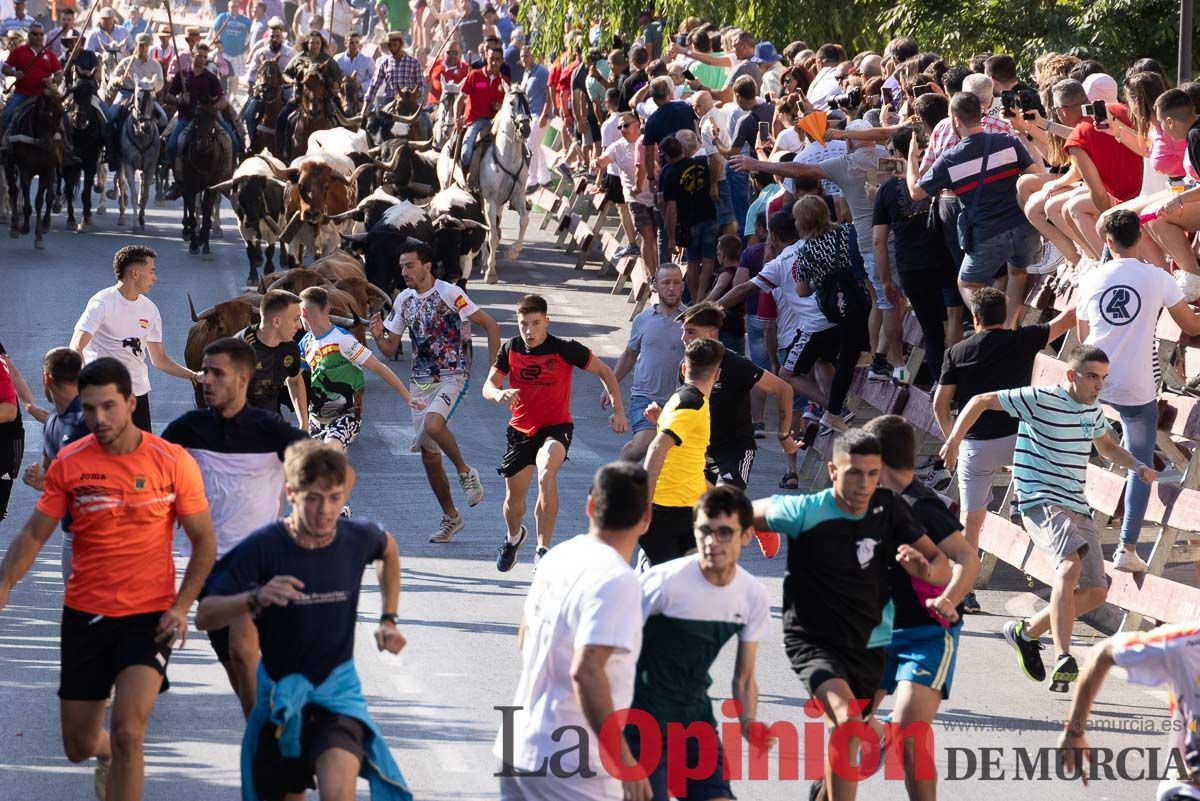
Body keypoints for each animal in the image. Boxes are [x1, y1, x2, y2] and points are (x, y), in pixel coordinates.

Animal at [5, 83, 66, 248]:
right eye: (45, 115)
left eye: (60, 115)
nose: (47, 144)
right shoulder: (26, 170)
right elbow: (27, 201)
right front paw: (25, 228)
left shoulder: (48, 169)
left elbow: (43, 199)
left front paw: (41, 231)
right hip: (9, 165)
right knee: (13, 191)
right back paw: (14, 226)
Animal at [61, 77, 105, 231]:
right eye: (74, 93)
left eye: (90, 93)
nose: (79, 118)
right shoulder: (67, 165)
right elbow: (69, 191)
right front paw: (71, 220)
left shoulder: (90, 164)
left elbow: (86, 193)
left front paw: (85, 221)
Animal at [178, 102, 232, 253]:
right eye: (196, 115)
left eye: (214, 116)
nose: (203, 144)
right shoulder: (190, 185)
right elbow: (193, 210)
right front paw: (194, 244)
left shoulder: (212, 186)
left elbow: (207, 212)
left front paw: (205, 243)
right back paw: (187, 231)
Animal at [475, 84, 532, 282]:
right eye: (511, 102)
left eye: (527, 102)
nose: (525, 129)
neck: (507, 158)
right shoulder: (490, 200)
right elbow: (492, 235)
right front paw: (491, 272)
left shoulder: (517, 197)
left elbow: (524, 220)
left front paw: (512, 253)